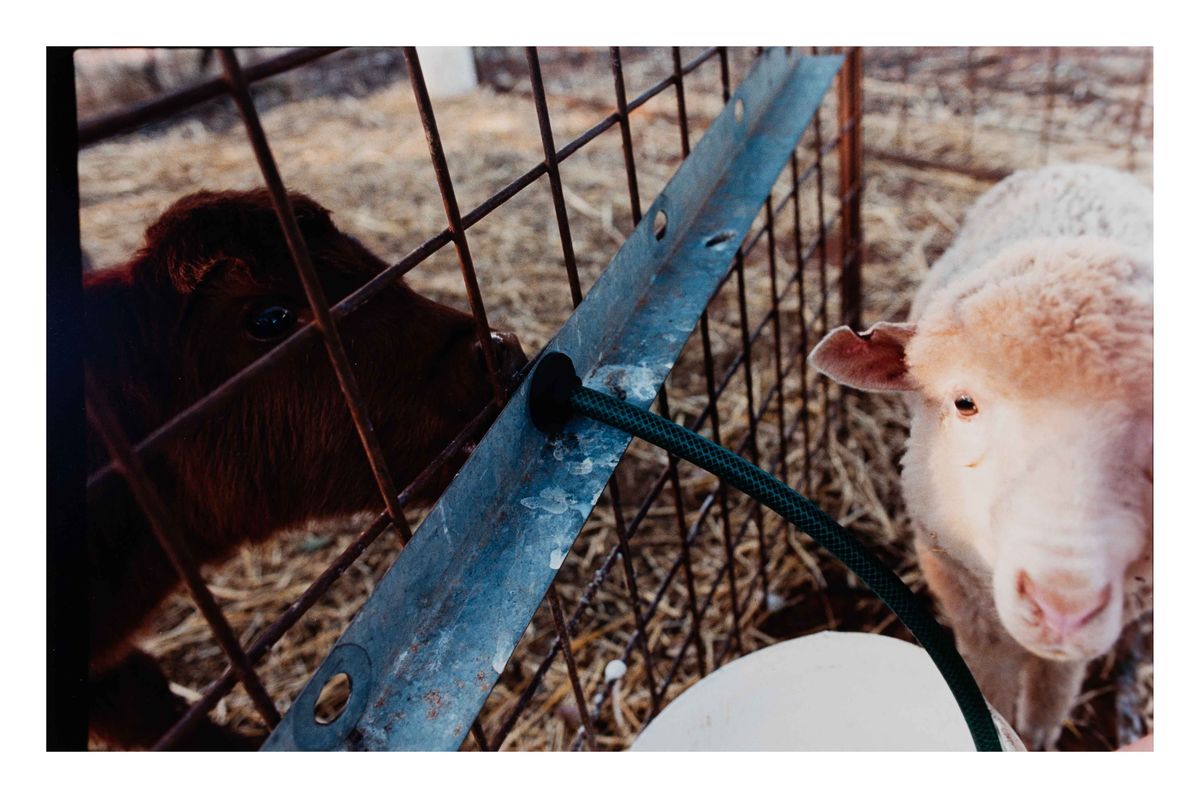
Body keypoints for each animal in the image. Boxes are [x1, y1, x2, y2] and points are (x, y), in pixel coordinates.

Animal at [806, 163, 1152, 748]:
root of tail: (1082, 166)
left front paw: (1037, 735)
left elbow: (1054, 684)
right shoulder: (954, 578)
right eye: (963, 402)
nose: (1063, 608)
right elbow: (987, 680)